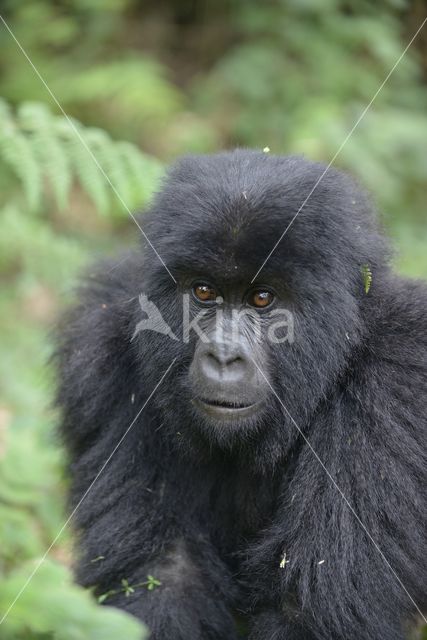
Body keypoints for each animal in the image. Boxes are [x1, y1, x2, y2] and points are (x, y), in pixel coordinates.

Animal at [56, 151, 424, 640]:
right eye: (203, 291)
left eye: (263, 299)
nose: (224, 356)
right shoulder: (102, 351)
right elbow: (161, 577)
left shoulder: (398, 380)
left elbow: (310, 611)